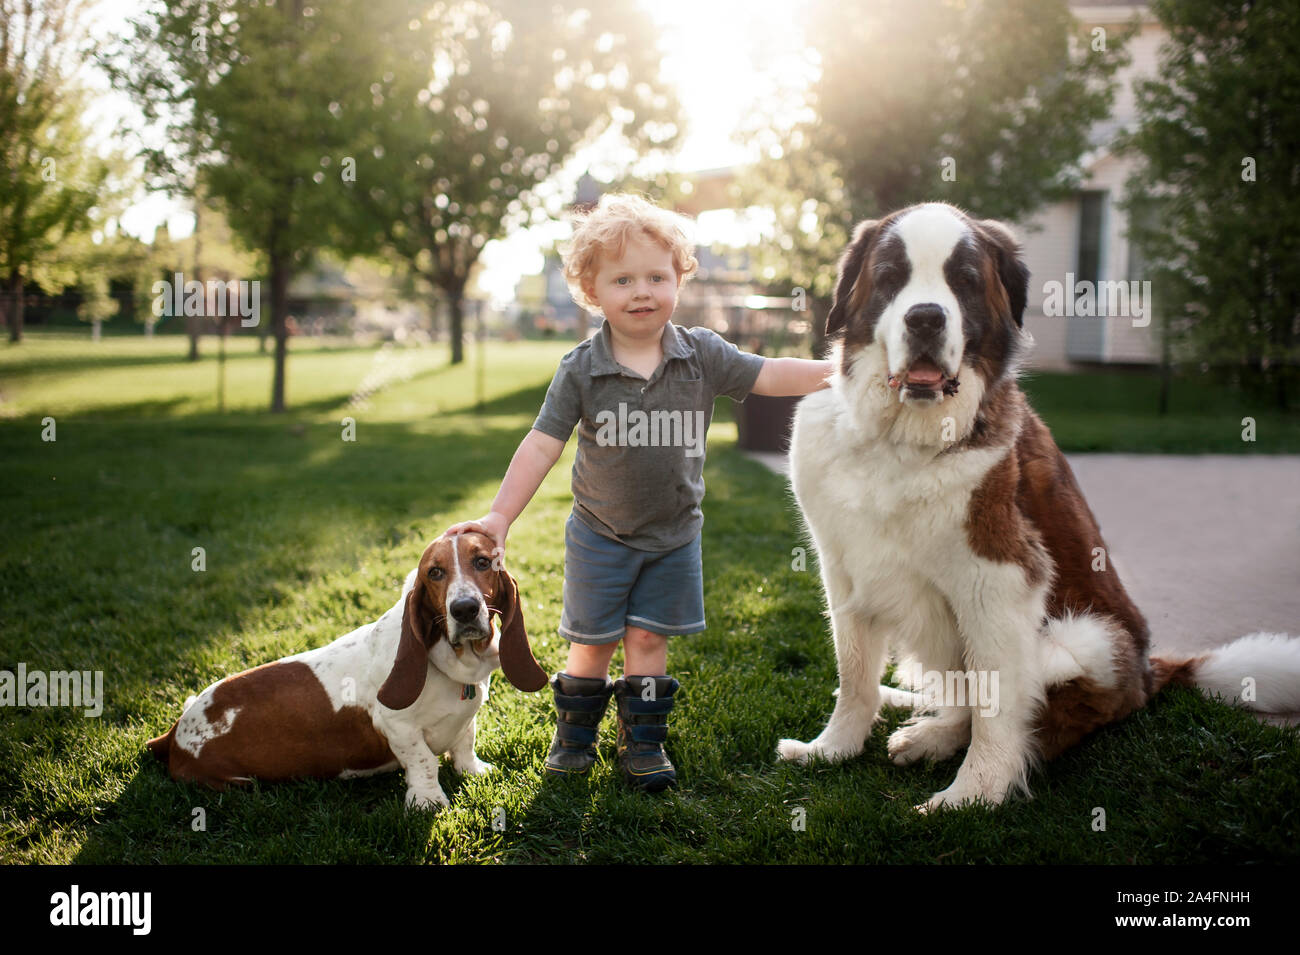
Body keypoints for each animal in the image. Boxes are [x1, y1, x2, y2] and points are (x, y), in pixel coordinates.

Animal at [774, 201, 1294, 815]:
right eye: (890, 276)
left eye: (964, 281)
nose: (925, 318)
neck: (900, 438)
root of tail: (1151, 675)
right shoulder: (844, 568)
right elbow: (853, 672)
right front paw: (832, 749)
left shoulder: (998, 578)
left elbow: (997, 709)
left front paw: (972, 797)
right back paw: (920, 720)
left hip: (1086, 637)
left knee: (1020, 709)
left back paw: (938, 739)